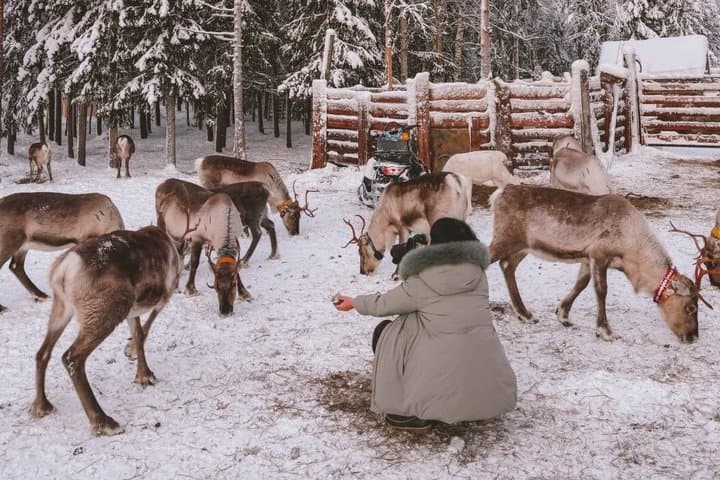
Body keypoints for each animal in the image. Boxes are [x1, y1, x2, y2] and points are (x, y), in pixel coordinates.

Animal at [29, 226, 183, 436]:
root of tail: (68, 266)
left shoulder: (133, 310)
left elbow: (138, 334)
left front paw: (143, 375)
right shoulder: (164, 297)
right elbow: (146, 327)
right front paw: (143, 370)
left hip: (62, 308)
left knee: (43, 352)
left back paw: (41, 406)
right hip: (105, 313)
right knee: (72, 357)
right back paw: (103, 422)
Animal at [155, 180, 251, 316]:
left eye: (233, 285)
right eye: (216, 287)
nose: (225, 311)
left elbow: (236, 269)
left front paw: (245, 293)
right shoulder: (197, 238)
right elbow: (195, 264)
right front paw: (191, 290)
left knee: (178, 255)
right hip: (162, 225)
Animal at [489, 184, 701, 343]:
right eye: (691, 307)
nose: (693, 337)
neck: (632, 254)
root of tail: (497, 195)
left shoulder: (587, 257)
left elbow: (581, 284)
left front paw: (562, 315)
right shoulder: (599, 254)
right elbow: (601, 290)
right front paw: (605, 331)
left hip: (523, 247)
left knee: (506, 265)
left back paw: (524, 314)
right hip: (505, 239)